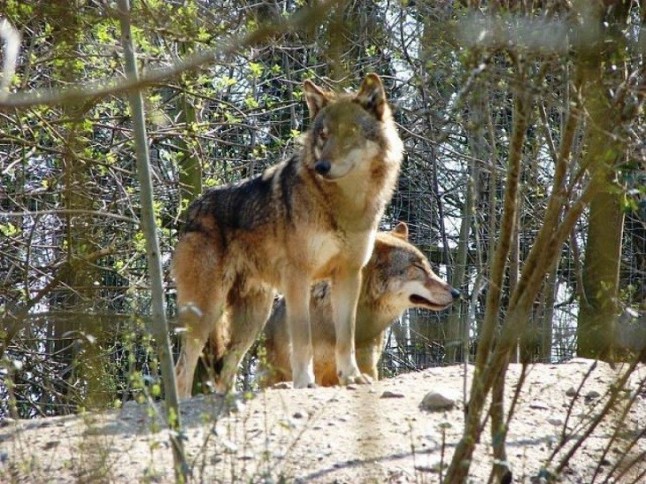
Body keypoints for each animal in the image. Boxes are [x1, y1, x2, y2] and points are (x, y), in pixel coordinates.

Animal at [172, 74, 404, 397]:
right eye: (323, 135)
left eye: (350, 133)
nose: (322, 167)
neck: (344, 204)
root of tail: (192, 210)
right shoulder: (299, 277)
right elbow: (303, 339)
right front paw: (304, 381)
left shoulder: (349, 274)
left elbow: (346, 337)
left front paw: (352, 377)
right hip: (207, 311)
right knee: (183, 368)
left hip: (254, 317)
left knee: (224, 371)